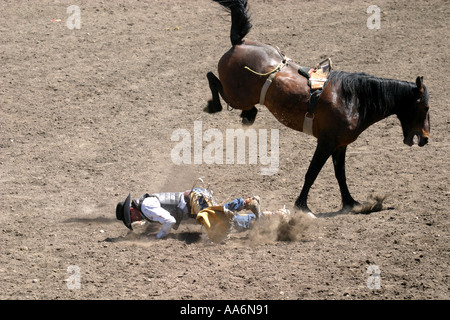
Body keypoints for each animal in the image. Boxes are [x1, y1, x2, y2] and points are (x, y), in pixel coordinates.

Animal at [206, 0, 430, 215]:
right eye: (426, 108)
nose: (426, 138)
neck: (353, 100)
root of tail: (239, 42)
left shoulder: (340, 145)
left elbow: (340, 174)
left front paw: (351, 203)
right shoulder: (326, 142)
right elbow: (312, 172)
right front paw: (302, 205)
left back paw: (248, 115)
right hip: (237, 97)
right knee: (212, 78)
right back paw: (216, 107)